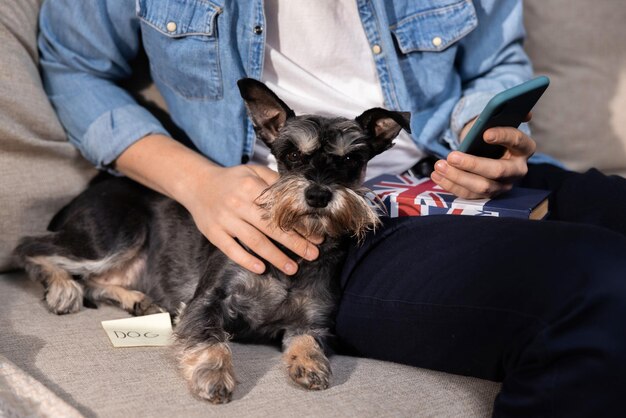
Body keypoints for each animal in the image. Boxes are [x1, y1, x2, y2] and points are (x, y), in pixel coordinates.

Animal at [12, 77, 410, 402]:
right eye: (293, 154)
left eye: (351, 160)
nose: (318, 195)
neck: (294, 251)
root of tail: (85, 193)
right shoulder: (206, 300)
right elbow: (210, 339)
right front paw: (214, 376)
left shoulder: (314, 319)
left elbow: (308, 340)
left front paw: (310, 364)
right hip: (114, 237)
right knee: (32, 248)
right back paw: (62, 289)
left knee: (94, 281)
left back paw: (135, 300)